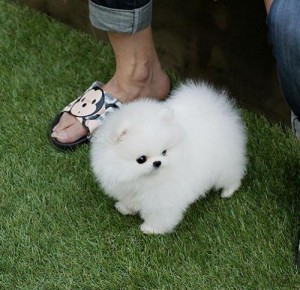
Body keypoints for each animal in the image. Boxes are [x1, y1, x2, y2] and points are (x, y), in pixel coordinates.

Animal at [90, 80, 247, 234]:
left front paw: (151, 229)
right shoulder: (128, 190)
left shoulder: (164, 198)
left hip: (225, 164)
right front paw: (125, 208)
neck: (142, 180)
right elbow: (130, 201)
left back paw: (228, 191)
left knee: (232, 177)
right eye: (141, 159)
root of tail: (212, 111)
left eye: (164, 152)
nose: (158, 162)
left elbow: (161, 216)